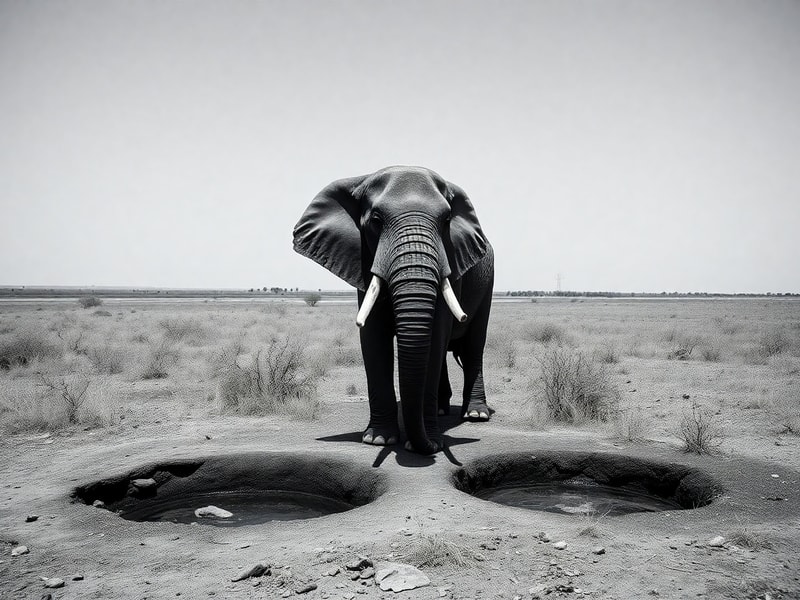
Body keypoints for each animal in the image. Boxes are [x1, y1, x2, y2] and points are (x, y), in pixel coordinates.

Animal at [293, 166, 494, 455]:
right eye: (376, 220)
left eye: (446, 220)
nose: (427, 446)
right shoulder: (363, 258)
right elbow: (373, 338)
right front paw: (378, 440)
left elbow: (436, 337)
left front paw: (430, 442)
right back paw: (442, 410)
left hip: (487, 283)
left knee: (474, 346)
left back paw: (476, 414)